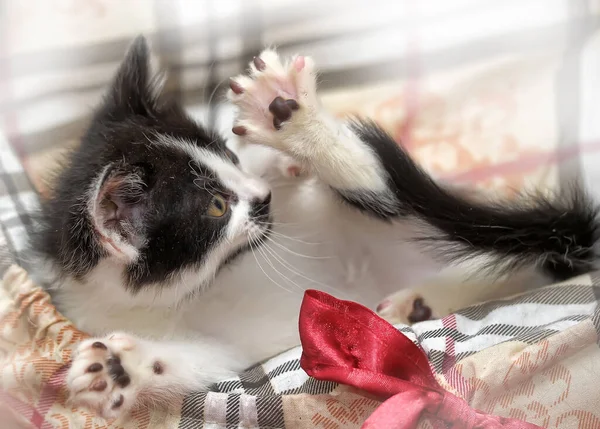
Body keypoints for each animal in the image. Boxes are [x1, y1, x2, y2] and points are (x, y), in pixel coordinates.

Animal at [34, 36, 600, 418]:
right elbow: (203, 363)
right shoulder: (219, 346)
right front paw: (118, 369)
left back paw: (291, 121)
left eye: (226, 155)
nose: (261, 199)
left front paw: (279, 157)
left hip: (401, 210)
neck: (213, 282)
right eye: (216, 207)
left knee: (377, 186)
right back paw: (420, 304)